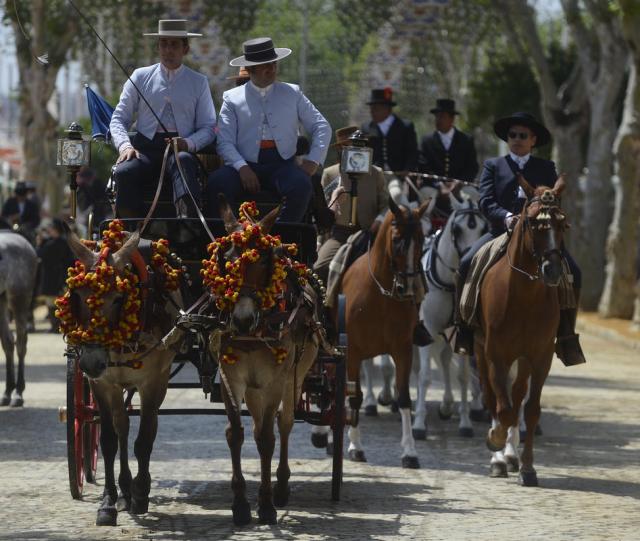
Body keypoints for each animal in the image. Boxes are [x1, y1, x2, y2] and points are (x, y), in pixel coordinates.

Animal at [209, 198, 320, 524]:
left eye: (262, 261)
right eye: (227, 260)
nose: (242, 320)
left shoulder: (276, 380)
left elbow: (269, 438)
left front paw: (267, 505)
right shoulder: (230, 375)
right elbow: (236, 433)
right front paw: (240, 504)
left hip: (295, 375)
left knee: (283, 424)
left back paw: (280, 487)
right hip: (254, 386)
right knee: (259, 425)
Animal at [340, 196, 430, 466]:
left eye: (422, 239)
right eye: (397, 240)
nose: (407, 288)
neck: (380, 294)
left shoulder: (403, 350)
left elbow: (404, 398)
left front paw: (410, 451)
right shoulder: (352, 352)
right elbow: (353, 396)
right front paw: (355, 446)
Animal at [412, 189, 488, 438]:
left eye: (484, 229)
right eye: (457, 229)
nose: (473, 260)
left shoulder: (463, 330)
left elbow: (463, 376)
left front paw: (465, 423)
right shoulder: (427, 328)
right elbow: (424, 376)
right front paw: (418, 424)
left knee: (445, 360)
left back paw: (446, 405)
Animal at [478, 176, 568, 486]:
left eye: (562, 224)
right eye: (532, 222)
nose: (552, 270)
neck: (526, 296)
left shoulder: (541, 357)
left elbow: (530, 411)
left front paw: (528, 467)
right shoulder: (495, 354)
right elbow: (501, 409)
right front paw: (494, 441)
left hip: (523, 359)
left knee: (517, 396)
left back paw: (511, 455)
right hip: (481, 351)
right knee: (493, 397)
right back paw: (499, 456)